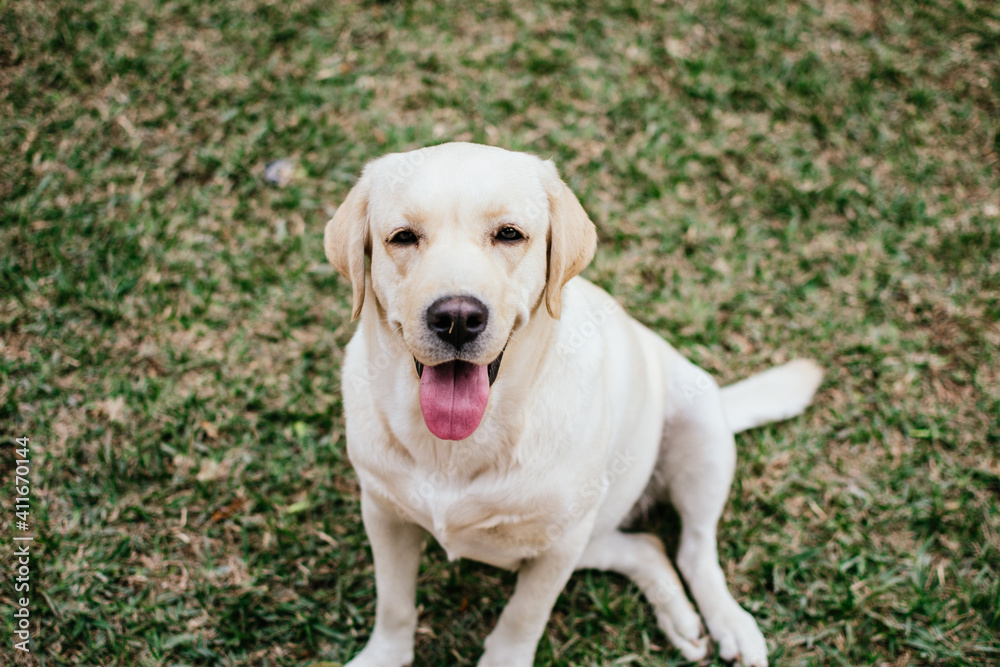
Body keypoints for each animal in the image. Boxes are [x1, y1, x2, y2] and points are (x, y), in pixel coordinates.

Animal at [324, 142, 824, 667]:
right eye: (402, 238)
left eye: (509, 234)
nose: (457, 317)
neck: (458, 445)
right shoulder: (384, 514)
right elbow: (394, 603)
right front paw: (385, 655)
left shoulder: (559, 546)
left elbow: (523, 618)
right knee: (648, 546)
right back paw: (679, 616)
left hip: (699, 430)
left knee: (695, 549)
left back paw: (729, 622)